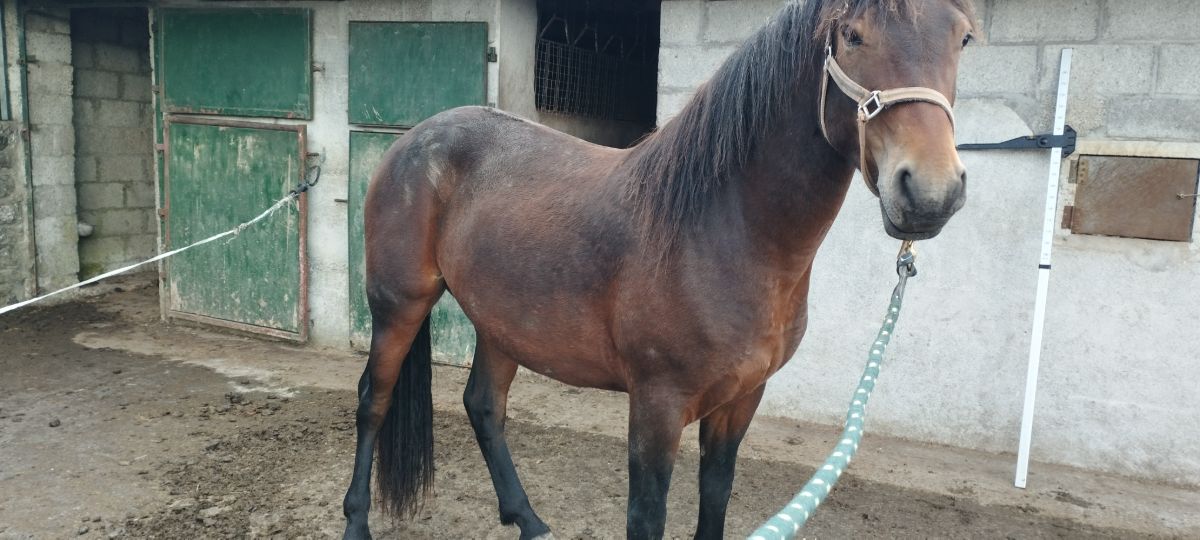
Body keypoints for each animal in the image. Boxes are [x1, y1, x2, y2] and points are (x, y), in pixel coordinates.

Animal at [342, 0, 975, 538]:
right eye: (852, 35)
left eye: (963, 38)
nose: (930, 193)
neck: (723, 228)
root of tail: (412, 141)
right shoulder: (657, 407)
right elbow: (647, 515)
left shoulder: (742, 399)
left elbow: (715, 495)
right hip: (399, 306)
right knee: (374, 399)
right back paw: (357, 521)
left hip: (502, 321)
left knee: (483, 406)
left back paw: (530, 521)